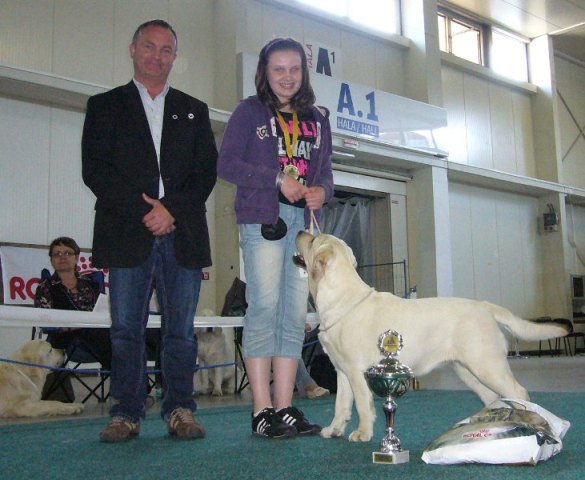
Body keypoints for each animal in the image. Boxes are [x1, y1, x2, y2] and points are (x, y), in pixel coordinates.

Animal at [294, 232, 570, 442]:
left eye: (313, 238)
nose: (299, 231)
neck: (341, 298)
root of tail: (485, 306)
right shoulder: (342, 372)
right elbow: (341, 405)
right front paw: (334, 430)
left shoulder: (356, 370)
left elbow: (362, 405)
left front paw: (362, 433)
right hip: (466, 369)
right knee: (493, 397)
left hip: (487, 365)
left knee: (518, 391)